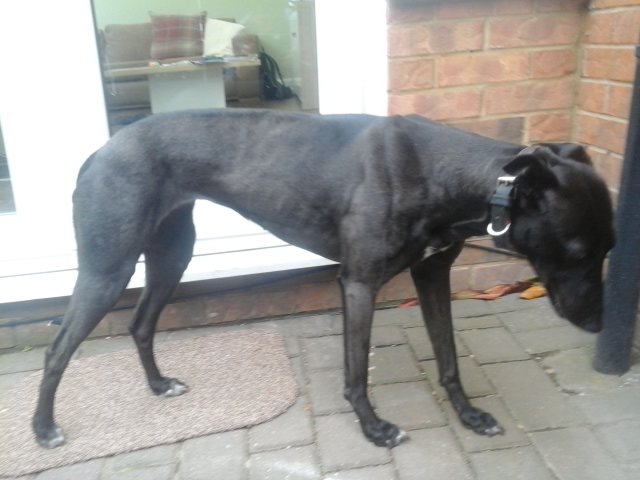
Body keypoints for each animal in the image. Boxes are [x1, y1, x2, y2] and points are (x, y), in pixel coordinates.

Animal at [33, 109, 615, 449]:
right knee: (58, 349)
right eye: (579, 251)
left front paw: (470, 416)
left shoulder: (432, 275)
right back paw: (42, 428)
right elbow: (356, 371)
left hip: (172, 253)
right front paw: (373, 427)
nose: (601, 325)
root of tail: (101, 150)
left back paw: (158, 385)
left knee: (141, 324)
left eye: (610, 247)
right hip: (107, 269)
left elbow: (448, 359)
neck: (450, 174)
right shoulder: (358, 284)